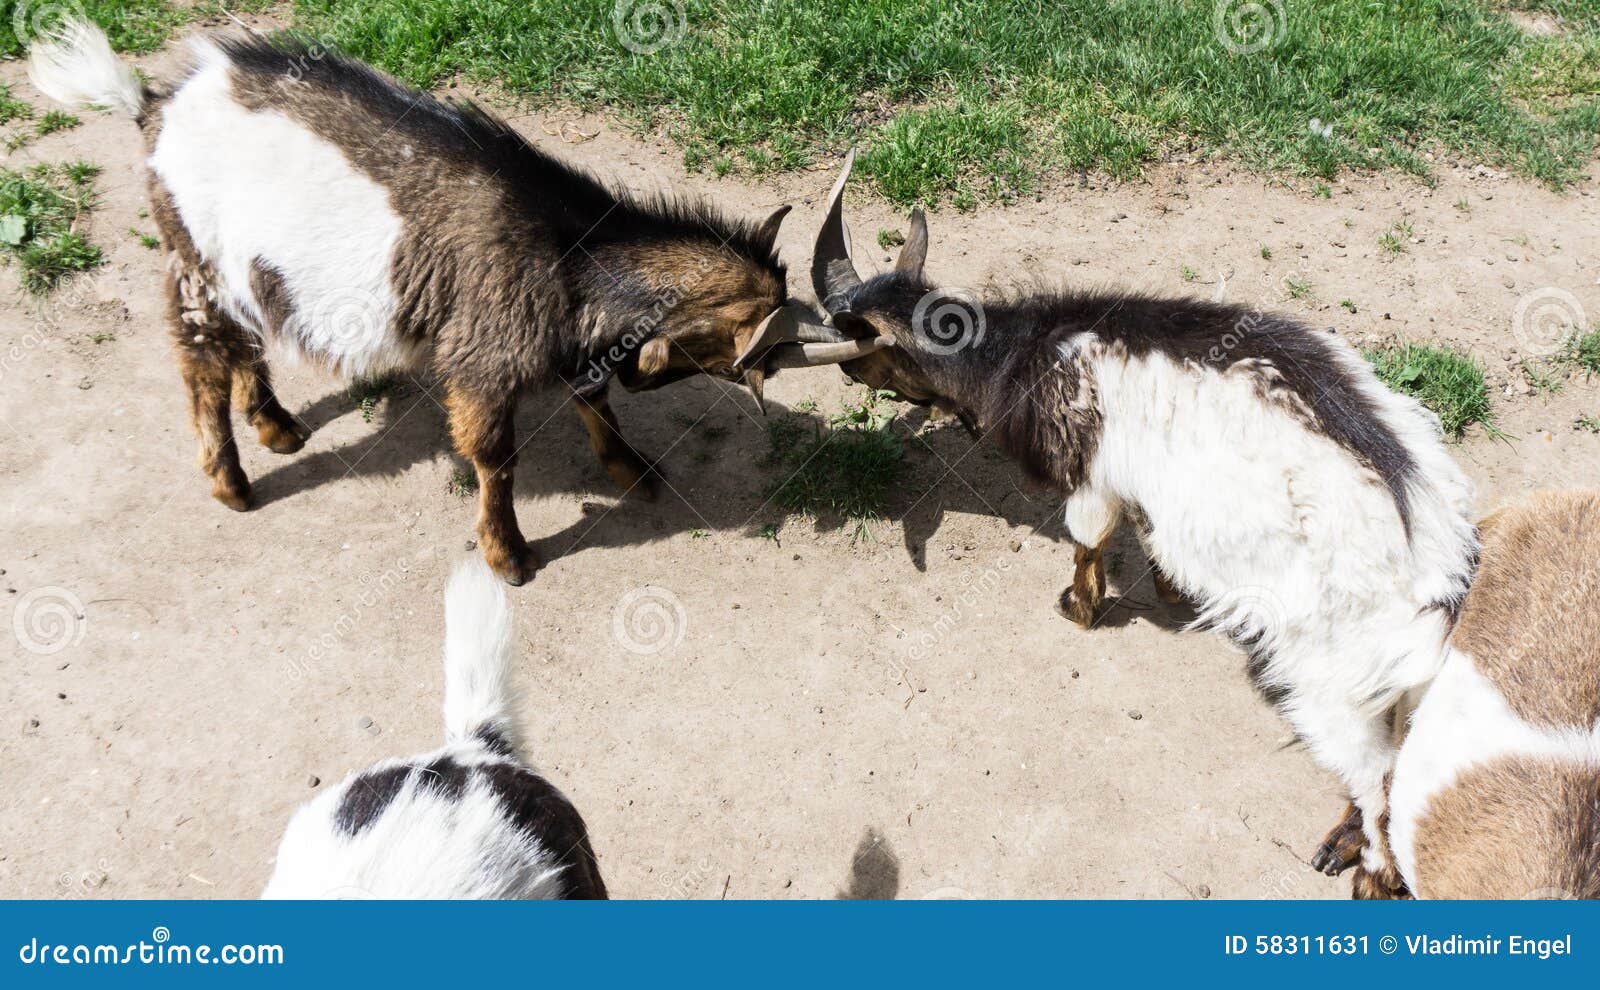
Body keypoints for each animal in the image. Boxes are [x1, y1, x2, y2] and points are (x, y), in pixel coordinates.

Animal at [28, 22, 863, 586]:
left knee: (247, 340)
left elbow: (592, 396)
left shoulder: (560, 337)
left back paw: (277, 426)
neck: (563, 249)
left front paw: (634, 470)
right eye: (745, 356)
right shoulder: (483, 356)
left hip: (244, 271)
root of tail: (151, 104)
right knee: (200, 357)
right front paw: (510, 557)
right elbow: (495, 455)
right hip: (193, 258)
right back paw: (232, 485)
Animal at [798, 152, 1480, 888]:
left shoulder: (1093, 475)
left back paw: (1359, 868)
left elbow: (1089, 540)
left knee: (1379, 781)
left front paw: (1076, 607)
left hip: (1332, 678)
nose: (844, 379)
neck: (1024, 351)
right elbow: (1151, 536)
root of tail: (1434, 573)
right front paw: (1168, 588)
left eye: (864, 349)